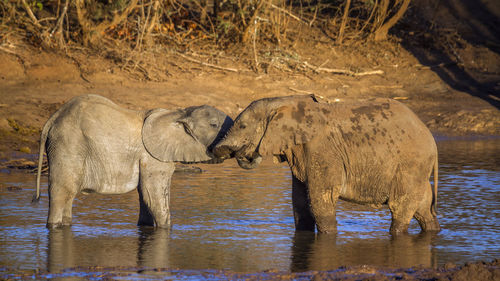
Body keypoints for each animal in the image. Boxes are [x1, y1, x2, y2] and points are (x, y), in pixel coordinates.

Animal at [34, 93, 233, 228]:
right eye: (214, 125)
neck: (178, 112)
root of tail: (51, 120)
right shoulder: (152, 156)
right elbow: (153, 196)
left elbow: (146, 198)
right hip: (68, 143)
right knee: (63, 191)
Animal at [213, 95, 440, 233]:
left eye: (242, 126)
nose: (218, 150)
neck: (284, 102)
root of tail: (433, 142)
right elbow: (300, 202)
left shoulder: (322, 150)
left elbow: (320, 199)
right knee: (424, 209)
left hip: (411, 165)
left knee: (400, 208)